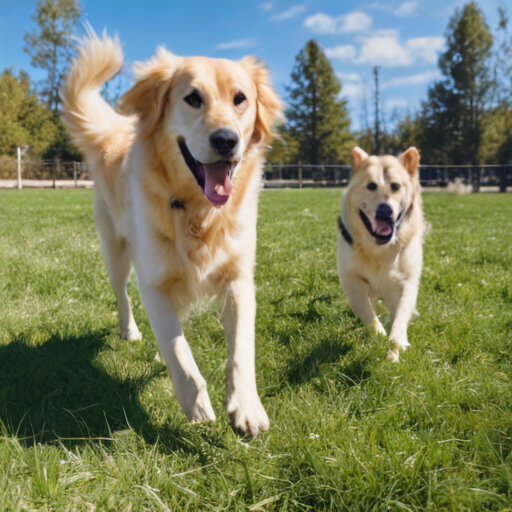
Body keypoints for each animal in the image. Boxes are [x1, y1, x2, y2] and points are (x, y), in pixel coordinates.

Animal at [62, 29, 284, 436]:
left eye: (240, 99)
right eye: (193, 98)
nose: (227, 140)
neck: (197, 211)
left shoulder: (239, 279)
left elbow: (241, 350)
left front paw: (246, 406)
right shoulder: (154, 282)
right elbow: (178, 351)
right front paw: (196, 406)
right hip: (115, 251)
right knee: (123, 295)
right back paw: (130, 331)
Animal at [336, 146, 424, 362]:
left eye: (396, 186)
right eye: (371, 186)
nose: (385, 212)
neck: (379, 250)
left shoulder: (407, 282)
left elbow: (400, 318)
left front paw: (395, 349)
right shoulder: (351, 283)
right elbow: (367, 313)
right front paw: (378, 335)